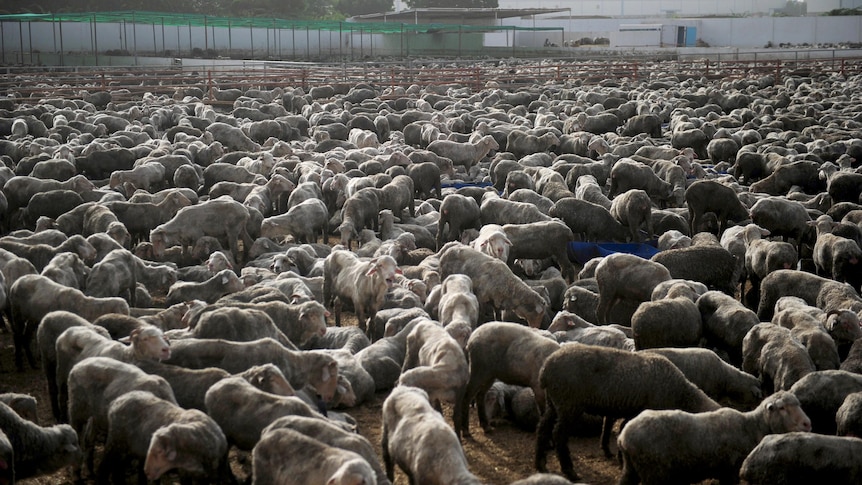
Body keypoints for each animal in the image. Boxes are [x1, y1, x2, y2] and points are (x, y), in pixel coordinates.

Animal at [99, 390, 233, 484]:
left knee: (118, 468)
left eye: (159, 451)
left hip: (127, 448)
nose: (147, 471)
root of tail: (117, 401)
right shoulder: (184, 473)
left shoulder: (205, 476)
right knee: (105, 465)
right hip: (114, 440)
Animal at [540, 342, 724, 478]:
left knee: (543, 428)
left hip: (554, 402)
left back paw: (540, 465)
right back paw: (569, 471)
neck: (680, 392)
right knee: (558, 434)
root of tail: (546, 368)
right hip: (568, 403)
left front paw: (620, 458)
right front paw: (622, 461)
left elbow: (623, 431)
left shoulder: (633, 413)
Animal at [616, 392, 812, 484]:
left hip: (632, 468)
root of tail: (623, 436)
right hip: (654, 471)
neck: (750, 427)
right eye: (782, 408)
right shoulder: (730, 470)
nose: (807, 424)